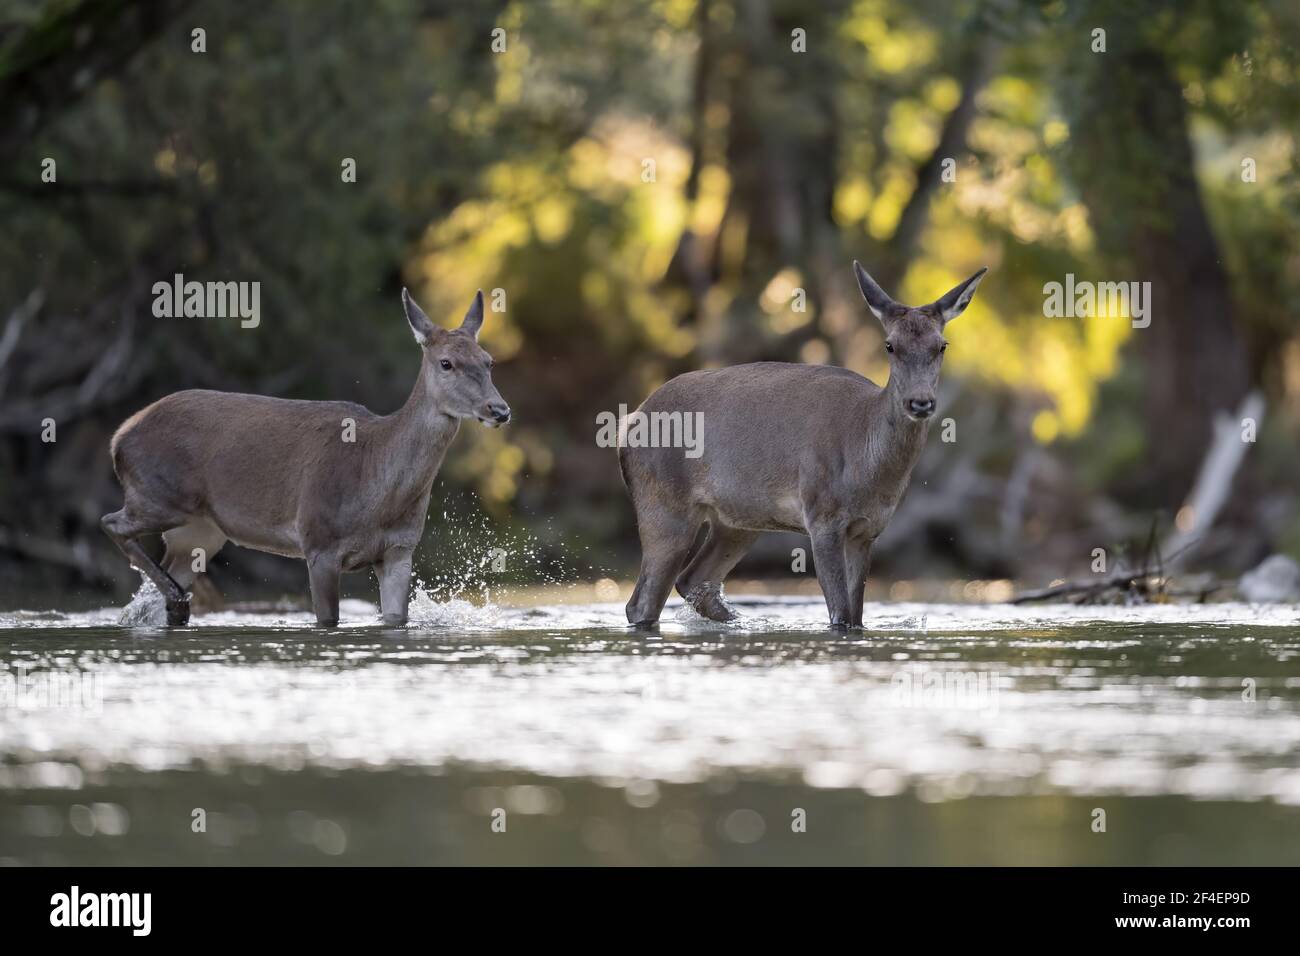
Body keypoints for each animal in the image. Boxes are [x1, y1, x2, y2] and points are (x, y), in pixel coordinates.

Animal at [101, 286, 509, 629]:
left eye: (488, 361)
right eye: (446, 363)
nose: (500, 409)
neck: (376, 485)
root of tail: (119, 437)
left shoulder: (400, 550)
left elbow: (395, 619)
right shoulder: (319, 542)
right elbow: (328, 620)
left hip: (199, 529)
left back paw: (173, 605)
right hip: (160, 495)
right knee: (111, 522)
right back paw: (176, 599)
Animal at [618, 264, 982, 634]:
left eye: (942, 345)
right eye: (890, 345)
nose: (920, 402)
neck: (867, 470)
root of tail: (627, 427)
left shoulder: (869, 530)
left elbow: (856, 617)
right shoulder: (822, 516)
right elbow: (841, 616)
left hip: (737, 520)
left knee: (692, 582)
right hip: (664, 503)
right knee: (642, 601)